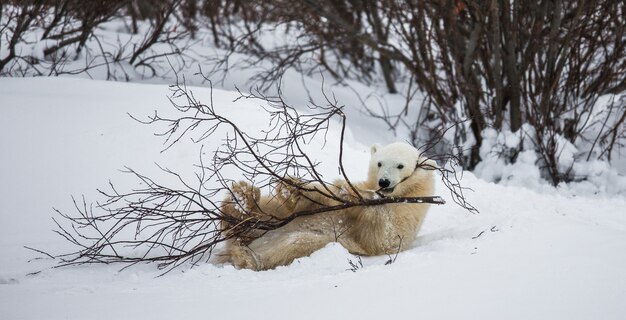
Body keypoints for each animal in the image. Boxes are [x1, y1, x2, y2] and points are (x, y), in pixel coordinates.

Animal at [217, 142, 436, 270]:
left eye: (400, 165)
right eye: (379, 163)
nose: (383, 182)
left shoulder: (409, 211)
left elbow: (385, 234)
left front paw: (349, 192)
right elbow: (318, 199)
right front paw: (292, 187)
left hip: (315, 241)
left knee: (297, 242)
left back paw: (247, 257)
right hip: (271, 219)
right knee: (266, 211)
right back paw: (241, 200)